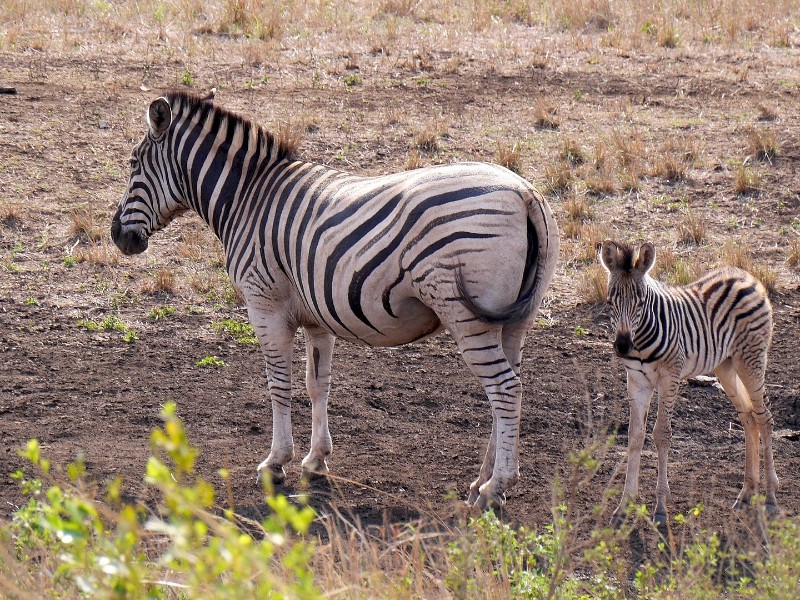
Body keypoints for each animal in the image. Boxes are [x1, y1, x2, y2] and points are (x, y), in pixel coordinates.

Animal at [110, 91, 560, 509]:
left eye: (132, 164)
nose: (118, 237)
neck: (249, 198)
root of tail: (523, 193)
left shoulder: (265, 305)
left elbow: (279, 384)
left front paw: (276, 463)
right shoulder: (316, 316)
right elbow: (317, 385)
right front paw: (315, 461)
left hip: (468, 315)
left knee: (503, 389)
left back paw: (496, 488)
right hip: (516, 319)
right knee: (510, 389)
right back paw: (481, 482)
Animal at [599, 240, 776, 525]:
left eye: (640, 301)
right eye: (610, 301)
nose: (623, 346)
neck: (640, 341)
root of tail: (745, 275)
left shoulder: (669, 376)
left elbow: (661, 434)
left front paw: (660, 508)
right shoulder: (636, 381)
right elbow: (635, 436)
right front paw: (624, 505)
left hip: (751, 360)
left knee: (764, 419)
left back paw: (770, 497)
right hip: (726, 366)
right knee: (748, 418)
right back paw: (747, 492)